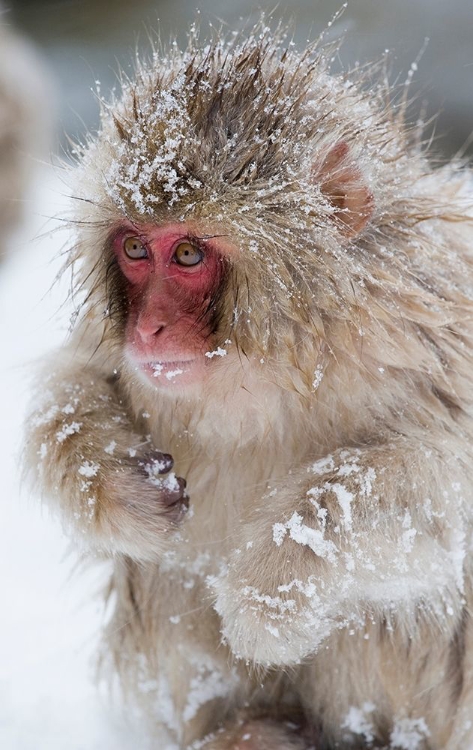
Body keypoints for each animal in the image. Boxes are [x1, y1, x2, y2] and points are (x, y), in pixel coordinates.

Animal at [23, 22, 473, 750]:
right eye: (135, 249)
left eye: (187, 254)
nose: (147, 329)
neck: (263, 365)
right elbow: (71, 386)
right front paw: (119, 486)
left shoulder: (431, 332)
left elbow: (439, 492)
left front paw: (271, 592)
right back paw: (250, 726)